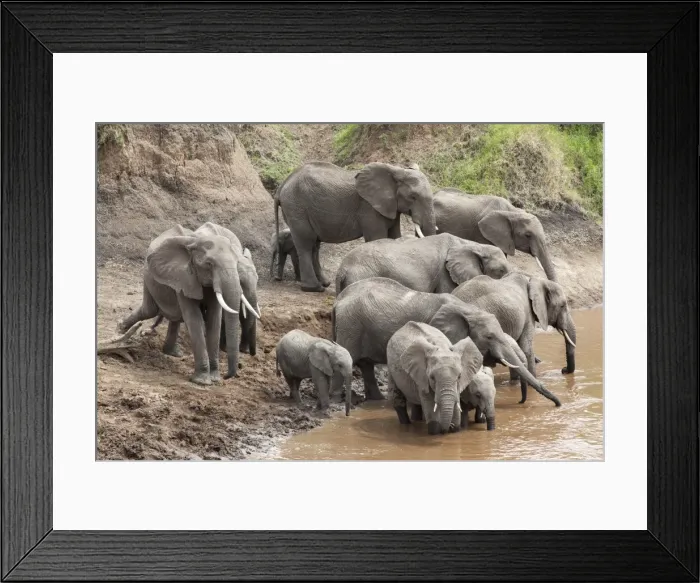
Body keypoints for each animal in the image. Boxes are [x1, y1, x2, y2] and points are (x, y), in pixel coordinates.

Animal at [117, 222, 260, 385]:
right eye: (209, 264)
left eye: (236, 264)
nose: (226, 376)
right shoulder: (184, 276)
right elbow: (194, 318)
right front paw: (202, 381)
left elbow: (214, 318)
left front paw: (214, 379)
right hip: (148, 276)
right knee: (150, 310)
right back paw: (120, 329)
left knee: (174, 316)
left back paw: (172, 353)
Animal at [275, 161, 436, 292]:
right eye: (413, 197)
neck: (397, 170)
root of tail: (282, 186)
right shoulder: (369, 208)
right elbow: (377, 238)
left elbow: (395, 236)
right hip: (296, 207)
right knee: (306, 243)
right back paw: (314, 288)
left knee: (315, 244)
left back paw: (325, 283)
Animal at [332, 277, 560, 406]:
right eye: (489, 337)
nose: (558, 404)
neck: (468, 309)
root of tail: (337, 301)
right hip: (350, 327)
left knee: (366, 365)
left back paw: (376, 402)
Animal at [452, 271, 576, 403]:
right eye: (563, 305)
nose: (563, 370)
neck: (534, 279)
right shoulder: (528, 314)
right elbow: (526, 348)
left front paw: (515, 383)